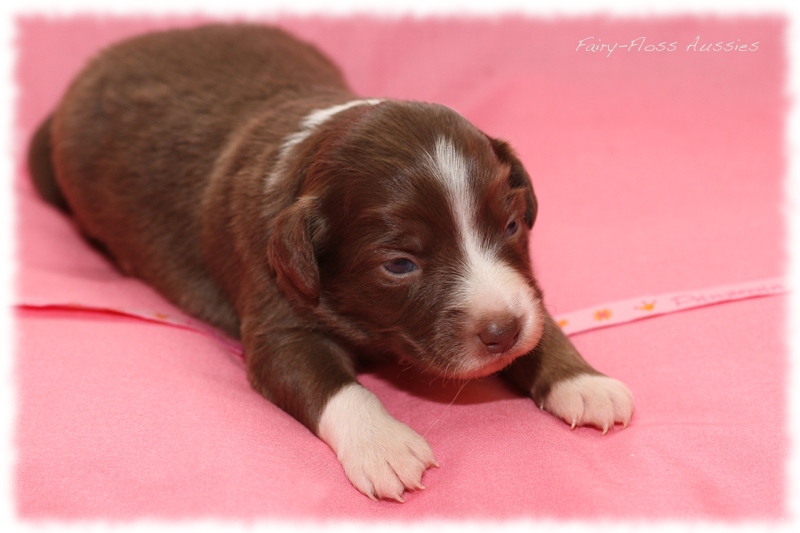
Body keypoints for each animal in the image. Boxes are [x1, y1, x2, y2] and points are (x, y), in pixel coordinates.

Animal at [28, 23, 636, 498]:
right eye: (399, 265)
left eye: (511, 227)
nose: (501, 332)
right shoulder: (277, 314)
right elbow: (332, 383)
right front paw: (383, 443)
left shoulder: (522, 290)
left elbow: (541, 319)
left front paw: (582, 379)